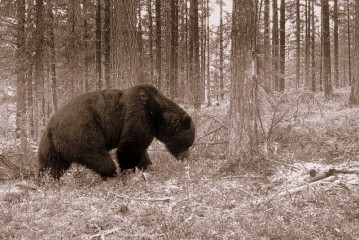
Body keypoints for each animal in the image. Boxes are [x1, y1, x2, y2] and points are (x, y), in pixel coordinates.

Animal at [38, 83, 195, 179]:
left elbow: (140, 149)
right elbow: (130, 146)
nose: (186, 158)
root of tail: (51, 125)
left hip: (51, 144)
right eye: (188, 143)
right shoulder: (139, 114)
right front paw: (129, 170)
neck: (156, 113)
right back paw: (111, 173)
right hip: (82, 133)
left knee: (51, 164)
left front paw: (147, 166)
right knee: (97, 155)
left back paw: (46, 180)